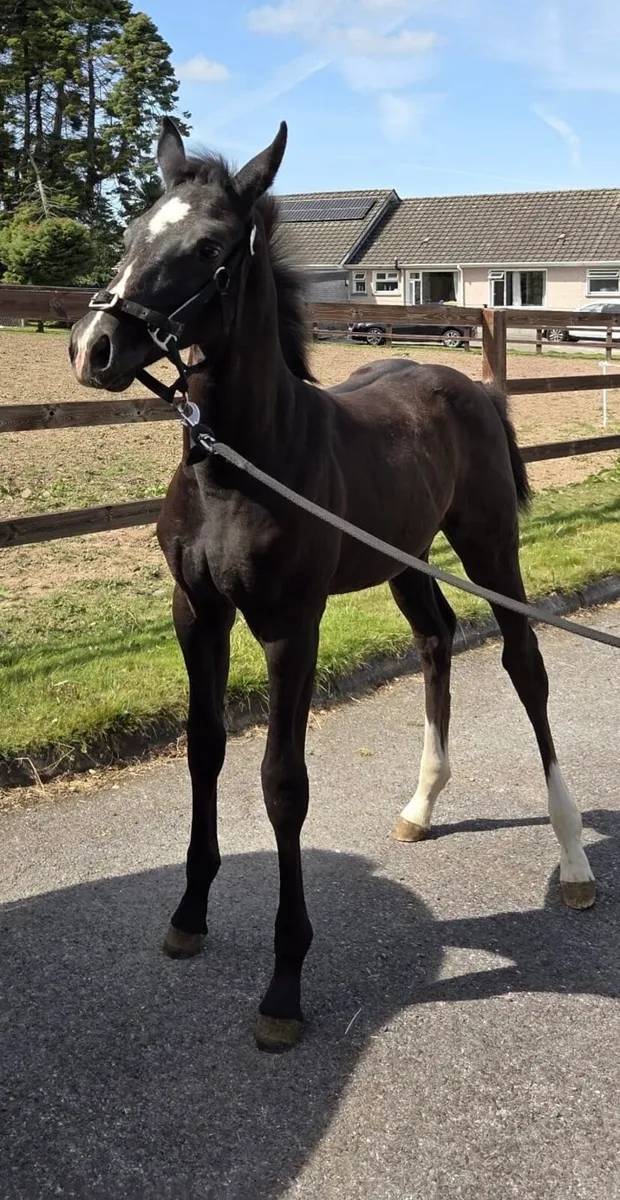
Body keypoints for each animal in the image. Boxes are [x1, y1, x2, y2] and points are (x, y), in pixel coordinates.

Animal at [68, 119, 595, 1052]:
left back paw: (572, 859)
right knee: (435, 640)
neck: (239, 465)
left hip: (489, 546)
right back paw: (422, 805)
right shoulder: (196, 614)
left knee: (525, 665)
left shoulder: (290, 625)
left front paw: (284, 986)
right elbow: (205, 748)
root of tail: (468, 383)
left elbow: (284, 783)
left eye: (208, 247)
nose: (92, 349)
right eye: (131, 231)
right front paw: (189, 915)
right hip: (405, 560)